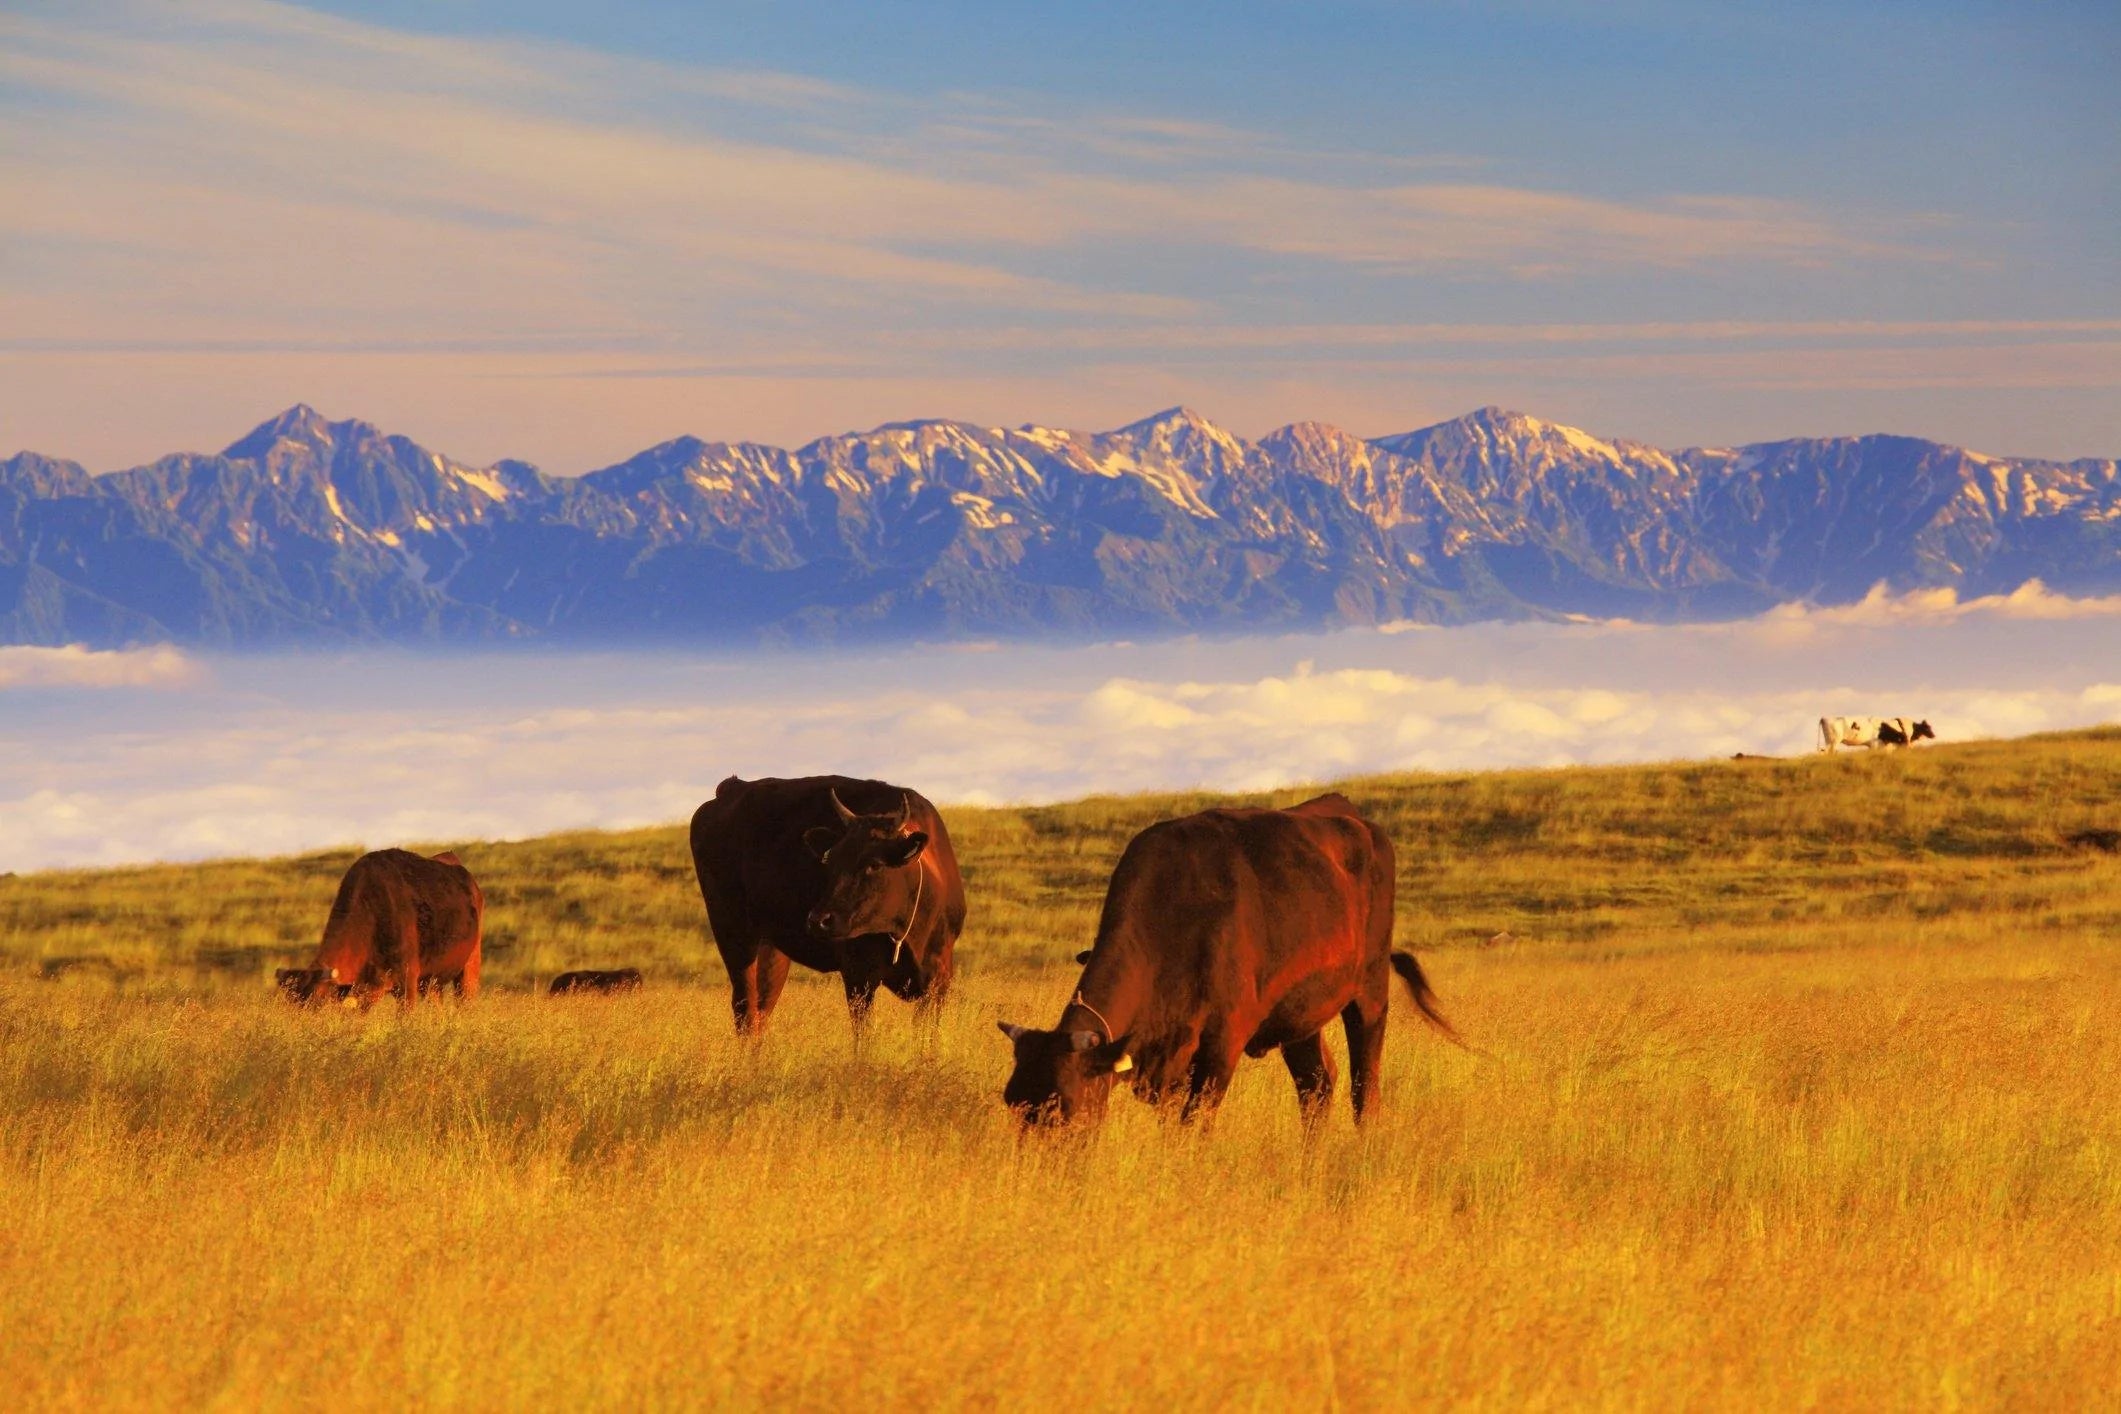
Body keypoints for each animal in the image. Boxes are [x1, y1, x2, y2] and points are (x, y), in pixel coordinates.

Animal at [687, 780, 971, 1034]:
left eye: (874, 864)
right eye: (830, 860)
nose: (818, 920)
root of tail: (732, 787)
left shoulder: (939, 979)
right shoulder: (859, 975)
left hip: (771, 949)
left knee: (761, 1011)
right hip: (734, 935)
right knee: (744, 1011)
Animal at [992, 797, 1459, 1127]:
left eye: (1063, 1107)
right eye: (1013, 1101)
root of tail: (1356, 819)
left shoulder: (1220, 1049)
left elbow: (1195, 1126)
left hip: (1370, 995)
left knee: (1365, 1091)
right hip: (1301, 1014)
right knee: (1316, 1087)